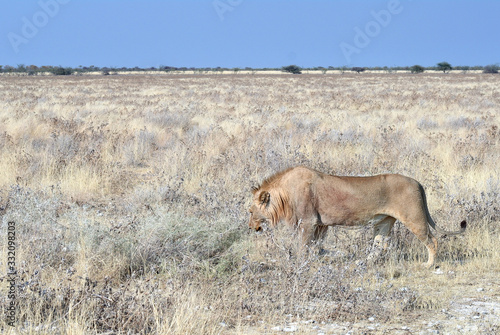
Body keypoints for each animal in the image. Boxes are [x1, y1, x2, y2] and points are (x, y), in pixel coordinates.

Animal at [248, 167, 466, 270]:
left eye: (250, 212)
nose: (250, 228)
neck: (284, 195)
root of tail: (417, 182)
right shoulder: (321, 224)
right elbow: (315, 246)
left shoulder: (308, 222)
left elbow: (304, 247)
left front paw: (301, 264)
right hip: (384, 221)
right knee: (380, 245)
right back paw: (361, 263)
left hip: (414, 217)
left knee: (432, 241)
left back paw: (428, 265)